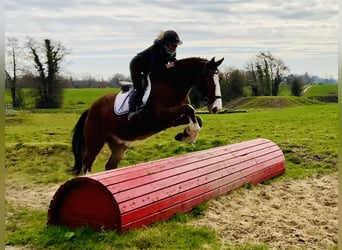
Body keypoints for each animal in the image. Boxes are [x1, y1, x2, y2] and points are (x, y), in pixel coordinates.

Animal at [71, 56, 223, 175]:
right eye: (207, 78)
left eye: (219, 78)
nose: (216, 108)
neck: (173, 84)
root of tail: (91, 109)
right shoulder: (160, 117)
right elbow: (189, 109)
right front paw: (190, 137)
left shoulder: (172, 120)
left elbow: (196, 117)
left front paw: (185, 135)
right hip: (95, 142)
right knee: (87, 166)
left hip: (119, 144)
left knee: (110, 166)